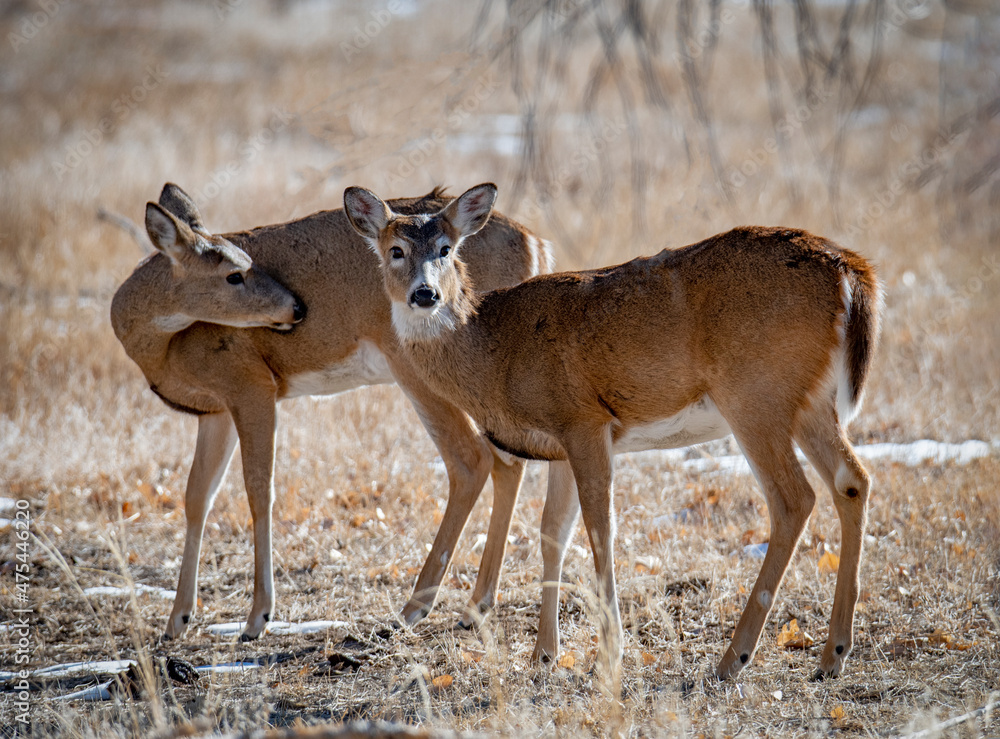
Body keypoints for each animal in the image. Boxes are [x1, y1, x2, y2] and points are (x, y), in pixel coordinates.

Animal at [111, 183, 564, 642]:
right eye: (234, 273)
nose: (296, 309)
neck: (162, 349)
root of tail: (536, 245)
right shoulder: (215, 409)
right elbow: (196, 495)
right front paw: (177, 619)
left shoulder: (251, 384)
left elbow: (258, 490)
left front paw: (258, 617)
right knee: (507, 462)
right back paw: (474, 607)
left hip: (418, 367)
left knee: (470, 459)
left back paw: (415, 607)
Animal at [343, 182, 882, 681]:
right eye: (395, 249)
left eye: (446, 248)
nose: (425, 294)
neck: (495, 352)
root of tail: (850, 272)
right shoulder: (559, 443)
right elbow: (552, 534)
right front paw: (544, 655)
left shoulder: (584, 420)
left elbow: (600, 529)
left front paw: (609, 653)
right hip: (810, 402)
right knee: (852, 480)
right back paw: (833, 653)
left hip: (755, 394)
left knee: (793, 498)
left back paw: (735, 658)